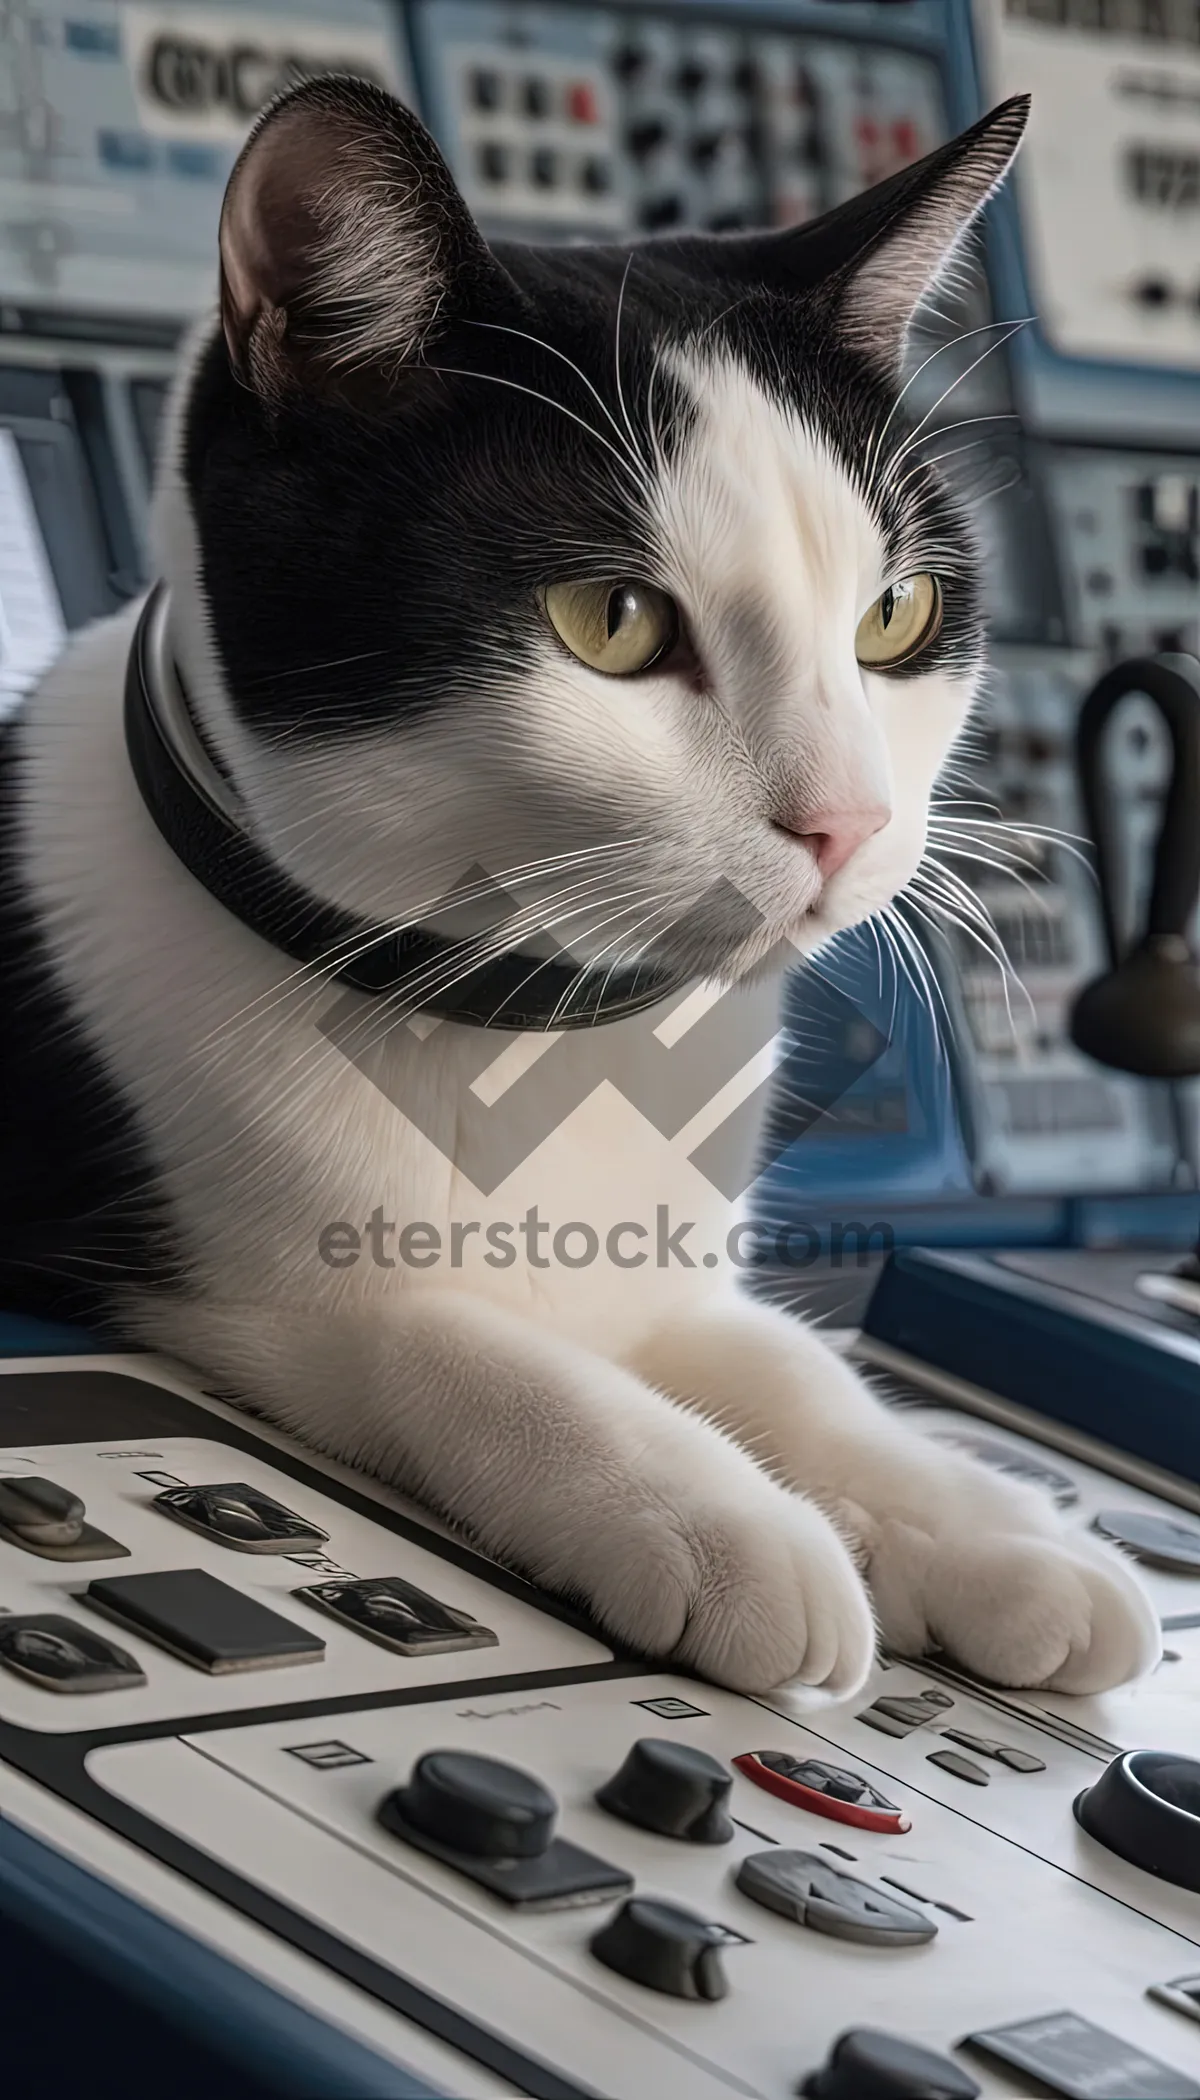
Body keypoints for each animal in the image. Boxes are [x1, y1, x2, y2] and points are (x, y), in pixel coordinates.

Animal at [0, 74, 1168, 1696]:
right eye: (610, 621)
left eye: (896, 614)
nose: (849, 821)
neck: (524, 1015)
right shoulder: (236, 1286)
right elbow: (443, 1340)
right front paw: (713, 1515)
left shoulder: (680, 1275)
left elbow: (788, 1362)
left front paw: (989, 1520)